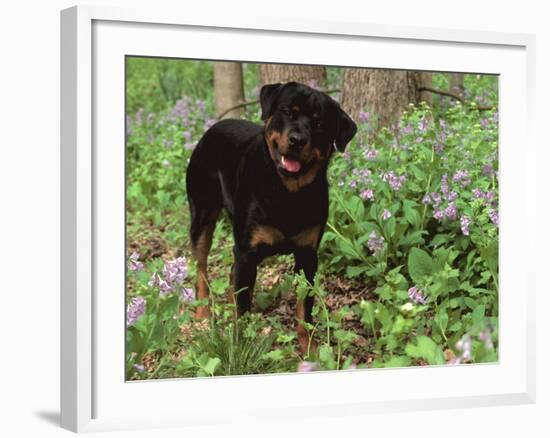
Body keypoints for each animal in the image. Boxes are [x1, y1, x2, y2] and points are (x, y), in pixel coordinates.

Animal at [187, 80, 358, 350]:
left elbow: (304, 310)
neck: (287, 192)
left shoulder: (307, 255)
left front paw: (309, 350)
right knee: (201, 266)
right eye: (287, 111)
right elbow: (244, 309)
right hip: (202, 215)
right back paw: (203, 313)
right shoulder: (247, 253)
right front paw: (241, 345)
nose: (297, 139)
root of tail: (212, 128)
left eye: (319, 124)